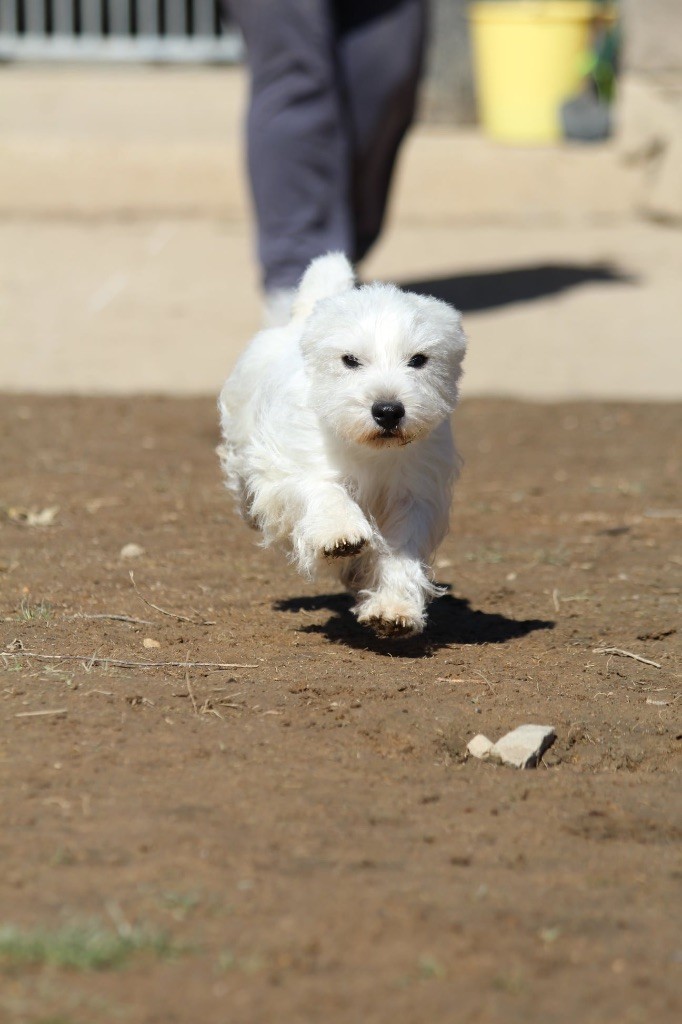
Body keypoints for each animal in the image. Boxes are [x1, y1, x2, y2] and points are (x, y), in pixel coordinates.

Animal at [216, 251, 462, 634]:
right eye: (350, 359)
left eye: (419, 359)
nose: (388, 411)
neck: (369, 449)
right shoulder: (296, 465)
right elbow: (324, 490)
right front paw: (341, 535)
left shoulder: (414, 493)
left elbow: (401, 549)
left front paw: (394, 608)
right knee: (244, 479)